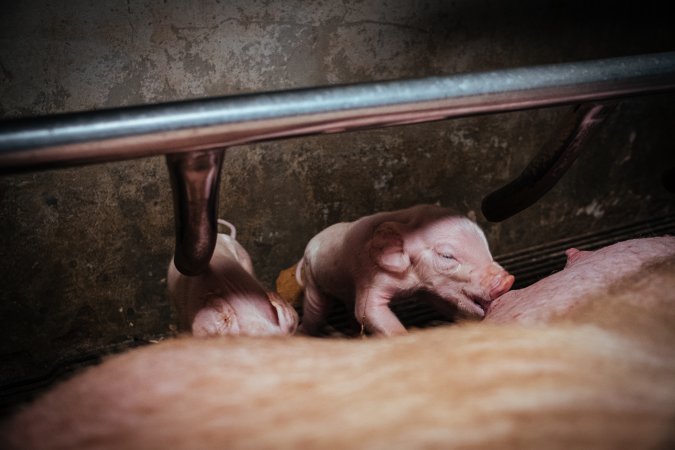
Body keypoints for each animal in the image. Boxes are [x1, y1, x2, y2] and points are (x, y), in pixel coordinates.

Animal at [296, 204, 514, 336]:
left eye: (486, 246)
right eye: (446, 256)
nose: (507, 280)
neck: (410, 283)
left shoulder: (429, 289)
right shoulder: (369, 277)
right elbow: (367, 310)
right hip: (312, 281)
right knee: (316, 311)